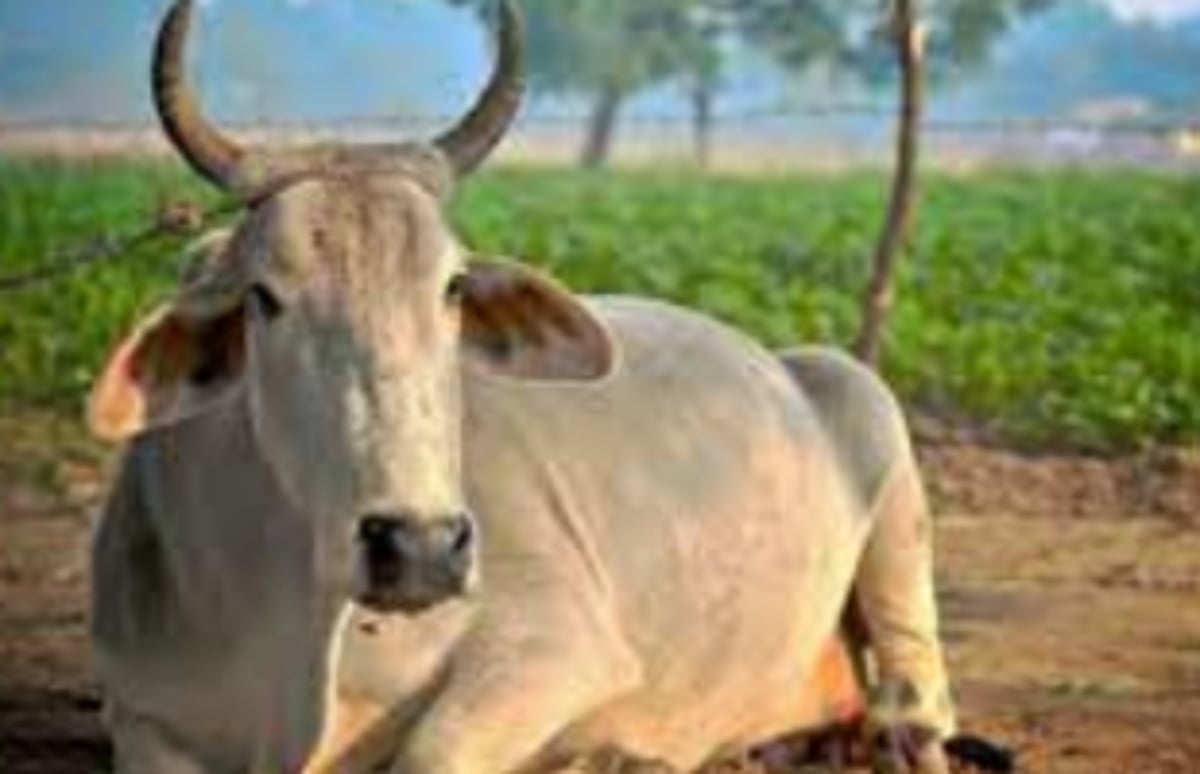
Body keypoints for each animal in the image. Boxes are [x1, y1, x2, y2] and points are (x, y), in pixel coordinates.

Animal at [87, 1, 969, 772]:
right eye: (264, 297)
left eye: (451, 287)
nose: (420, 548)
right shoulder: (140, 715)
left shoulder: (556, 647)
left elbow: (433, 752)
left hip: (869, 413)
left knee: (915, 687)